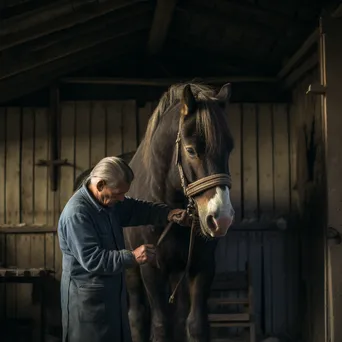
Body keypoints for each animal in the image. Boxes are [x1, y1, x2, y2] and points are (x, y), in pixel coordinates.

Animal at [74, 83, 235, 342]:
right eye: (191, 150)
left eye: (229, 148)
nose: (221, 219)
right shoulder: (151, 268)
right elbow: (160, 325)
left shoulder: (202, 266)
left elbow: (195, 324)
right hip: (131, 271)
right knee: (137, 316)